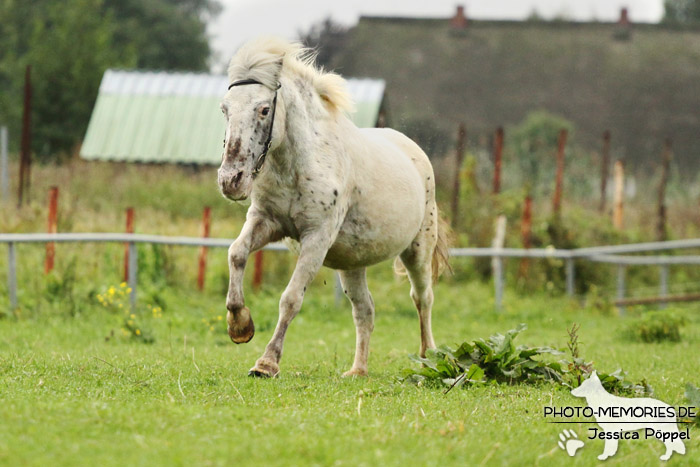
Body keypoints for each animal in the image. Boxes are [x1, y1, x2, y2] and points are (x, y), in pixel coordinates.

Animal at [217, 37, 448, 380]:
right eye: (225, 109)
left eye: (264, 109)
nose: (231, 180)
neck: (299, 163)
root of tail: (415, 152)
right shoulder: (266, 222)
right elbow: (237, 253)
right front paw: (239, 325)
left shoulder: (317, 238)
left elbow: (291, 299)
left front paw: (266, 363)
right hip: (353, 265)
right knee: (364, 310)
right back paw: (358, 370)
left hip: (417, 250)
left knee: (422, 298)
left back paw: (428, 357)